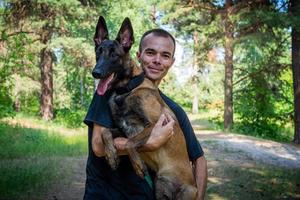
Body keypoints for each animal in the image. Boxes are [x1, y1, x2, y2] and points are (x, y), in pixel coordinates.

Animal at [91, 16, 198, 199]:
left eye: (114, 55)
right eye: (98, 52)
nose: (95, 73)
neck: (126, 90)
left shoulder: (155, 125)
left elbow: (130, 143)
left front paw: (138, 166)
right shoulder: (123, 129)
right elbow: (106, 132)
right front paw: (111, 156)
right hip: (160, 188)